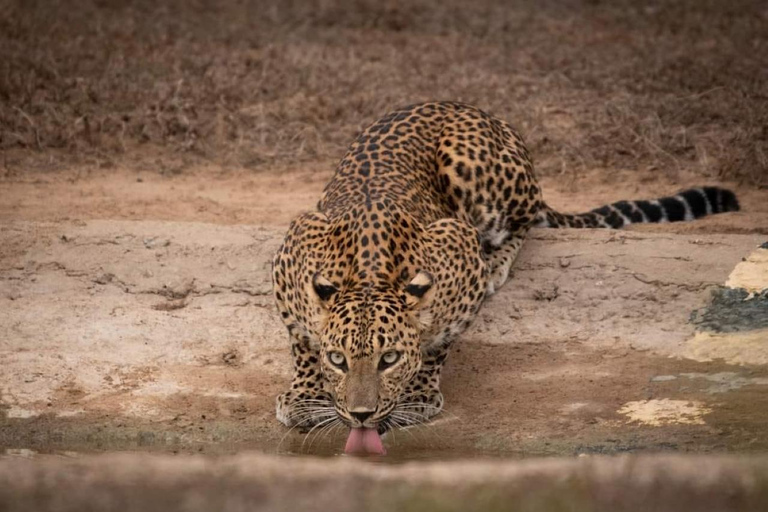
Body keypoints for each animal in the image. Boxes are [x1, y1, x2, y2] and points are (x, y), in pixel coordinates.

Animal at [272, 101, 740, 440]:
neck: (368, 273)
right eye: (339, 359)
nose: (361, 415)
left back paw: (498, 259)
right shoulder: (291, 255)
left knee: (525, 221)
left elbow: (438, 342)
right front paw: (305, 397)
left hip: (473, 170)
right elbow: (303, 342)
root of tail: (472, 108)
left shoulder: (459, 254)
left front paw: (419, 394)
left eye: (389, 360)